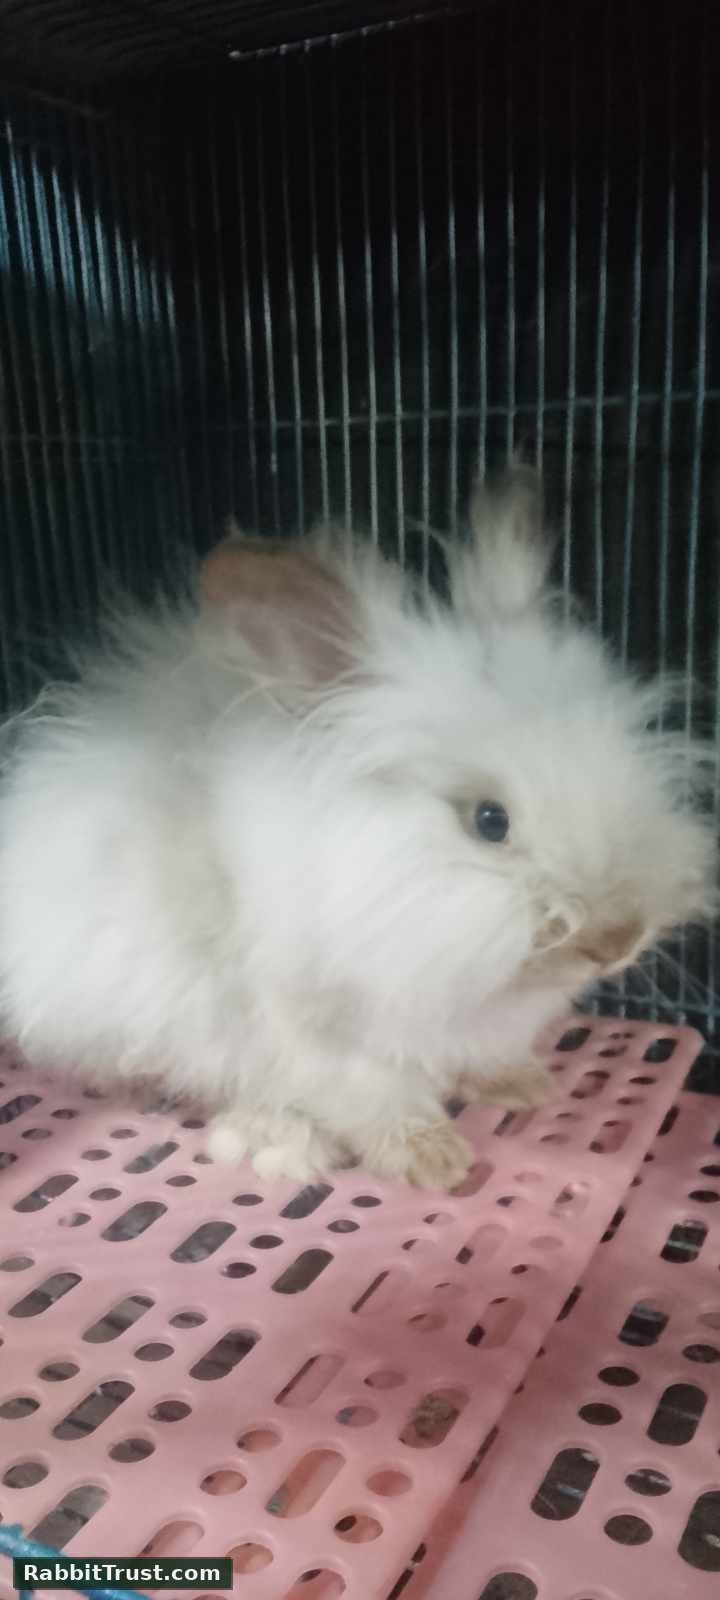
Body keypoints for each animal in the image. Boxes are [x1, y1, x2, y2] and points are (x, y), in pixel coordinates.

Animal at [0, 468, 714, 1189]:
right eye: (490, 821)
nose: (620, 938)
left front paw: (524, 1085)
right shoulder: (309, 1029)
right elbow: (372, 1094)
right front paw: (435, 1159)